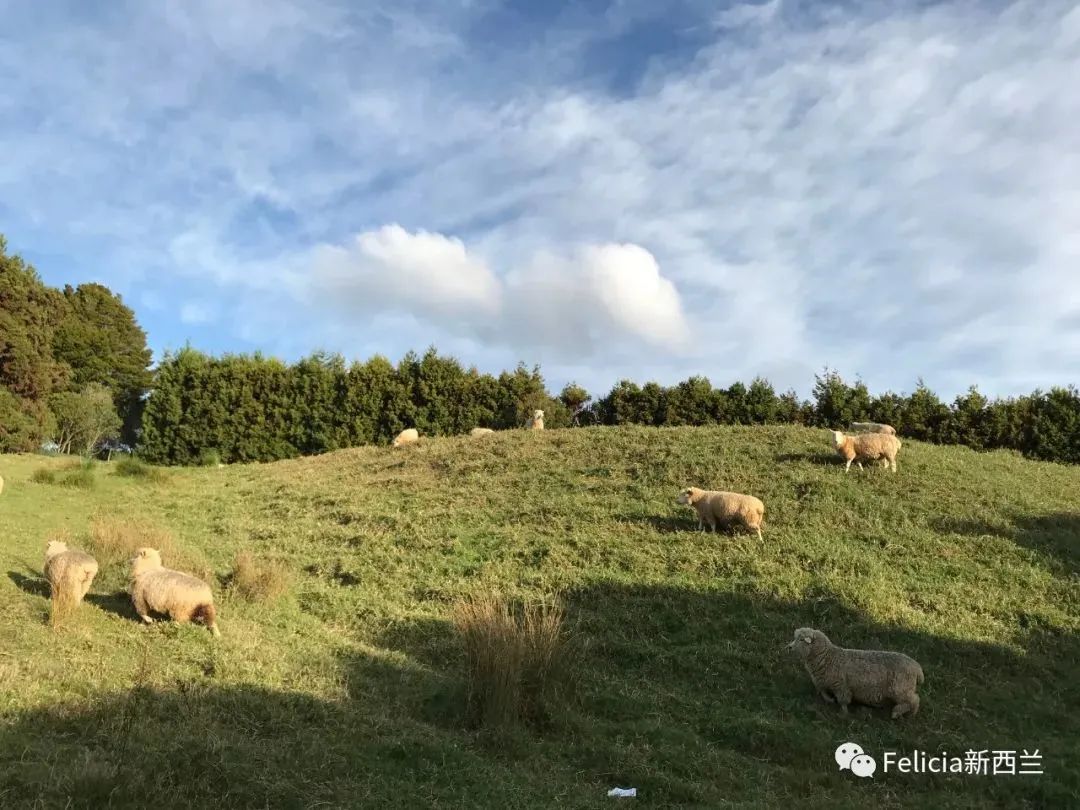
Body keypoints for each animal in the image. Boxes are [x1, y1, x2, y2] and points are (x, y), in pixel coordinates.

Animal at [790, 626, 924, 721]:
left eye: (801, 640)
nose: (789, 647)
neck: (829, 657)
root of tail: (917, 668)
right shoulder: (824, 682)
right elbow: (823, 692)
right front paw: (830, 700)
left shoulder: (842, 686)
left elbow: (843, 701)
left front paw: (843, 713)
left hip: (900, 688)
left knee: (914, 700)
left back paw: (906, 714)